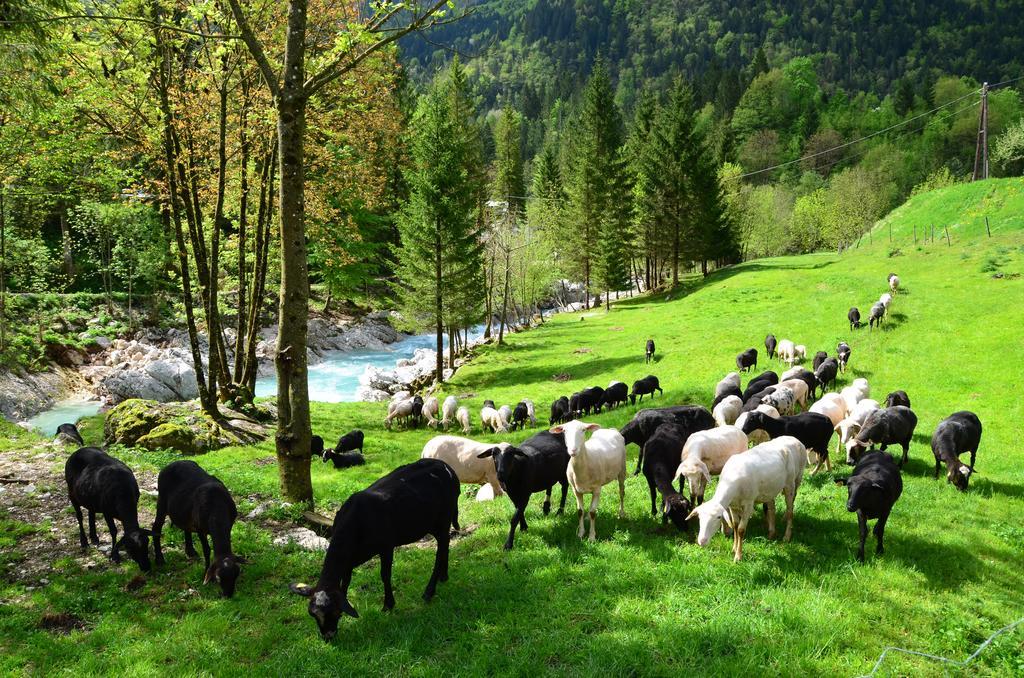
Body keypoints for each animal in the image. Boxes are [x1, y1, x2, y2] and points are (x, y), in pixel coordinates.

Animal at [152, 458, 240, 598]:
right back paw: (159, 559)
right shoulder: (200, 528)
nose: (228, 595)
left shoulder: (229, 524)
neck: (217, 507)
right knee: (156, 528)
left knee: (185, 527)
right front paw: (205, 573)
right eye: (219, 578)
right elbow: (207, 550)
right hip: (162, 501)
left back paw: (190, 551)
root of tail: (174, 462)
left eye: (236, 575)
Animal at [290, 456, 462, 643]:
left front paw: (388, 605)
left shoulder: (386, 546)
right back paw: (444, 577)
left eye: (333, 612)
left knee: (441, 548)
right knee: (445, 546)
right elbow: (345, 581)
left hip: (442, 519)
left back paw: (429, 591)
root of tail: (447, 467)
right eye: (312, 614)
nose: (327, 637)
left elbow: (384, 575)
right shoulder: (349, 558)